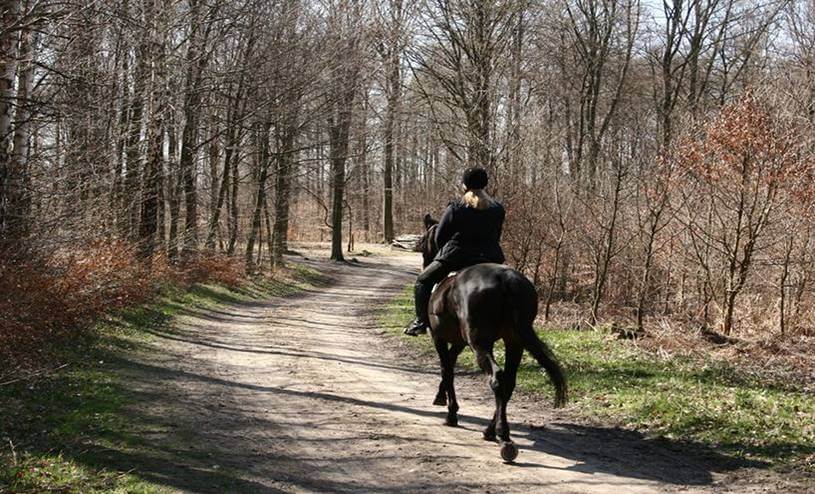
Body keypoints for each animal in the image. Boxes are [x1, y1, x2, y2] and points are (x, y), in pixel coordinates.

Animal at [414, 213, 568, 464]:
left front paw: (451, 413)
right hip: (514, 342)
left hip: (480, 344)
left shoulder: (439, 338)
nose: (425, 259)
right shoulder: (459, 342)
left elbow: (447, 369)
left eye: (425, 240)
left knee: (497, 378)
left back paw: (503, 437)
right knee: (509, 382)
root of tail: (507, 281)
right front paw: (441, 397)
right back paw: (491, 431)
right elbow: (450, 366)